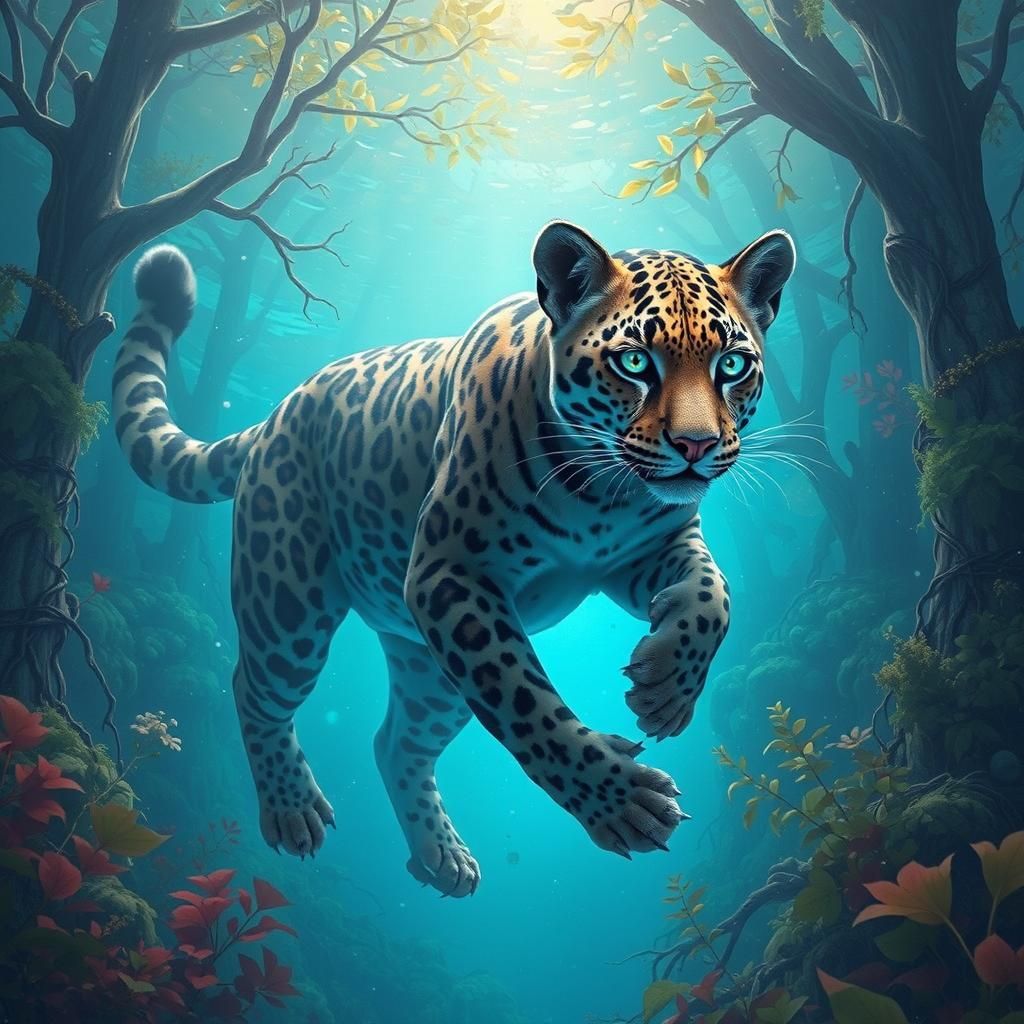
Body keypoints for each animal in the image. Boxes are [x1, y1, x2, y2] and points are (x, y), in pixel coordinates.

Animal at [113, 220, 796, 897]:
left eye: (732, 364)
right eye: (634, 362)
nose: (697, 446)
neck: (605, 494)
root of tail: (274, 415)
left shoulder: (657, 547)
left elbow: (714, 597)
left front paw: (667, 689)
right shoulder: (450, 574)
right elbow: (524, 702)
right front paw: (620, 799)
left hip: (429, 671)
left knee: (395, 744)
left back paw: (441, 854)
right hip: (289, 606)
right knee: (254, 690)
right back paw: (291, 808)